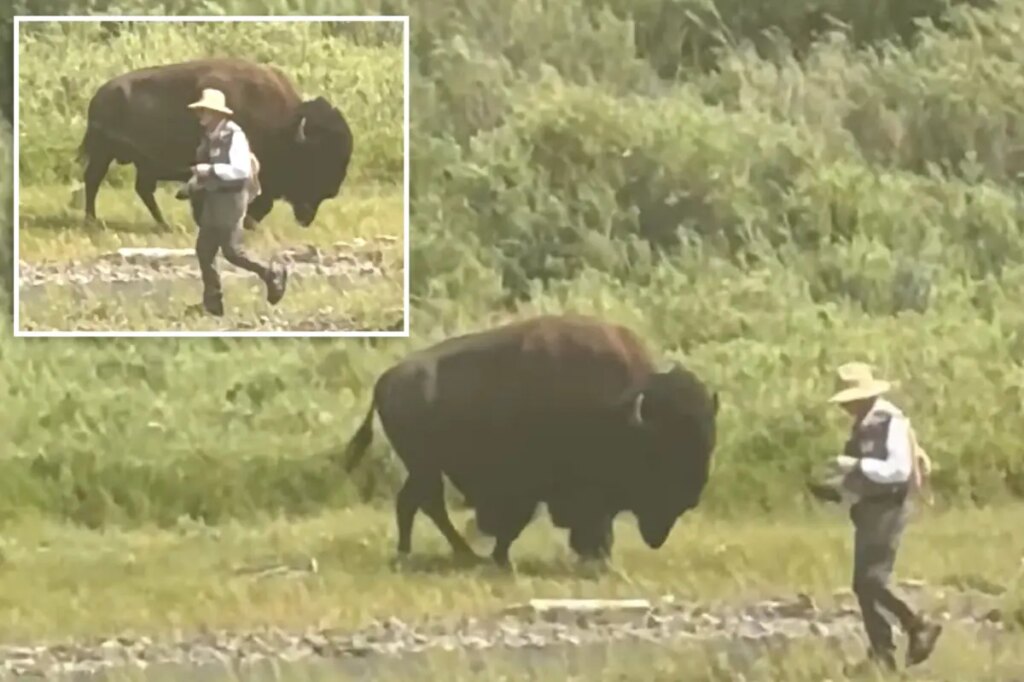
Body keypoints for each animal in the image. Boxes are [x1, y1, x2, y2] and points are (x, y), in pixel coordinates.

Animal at [77, 57, 353, 230]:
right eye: (317, 157)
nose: (332, 190)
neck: (285, 126)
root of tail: (100, 94)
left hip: (139, 163)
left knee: (141, 189)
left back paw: (163, 224)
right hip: (104, 153)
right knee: (93, 181)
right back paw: (92, 221)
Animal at [342, 314, 720, 567]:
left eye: (709, 441)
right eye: (666, 449)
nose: (693, 495)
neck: (624, 409)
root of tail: (385, 380)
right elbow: (520, 523)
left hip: (424, 467)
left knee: (419, 503)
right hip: (425, 466)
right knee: (421, 503)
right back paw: (439, 554)